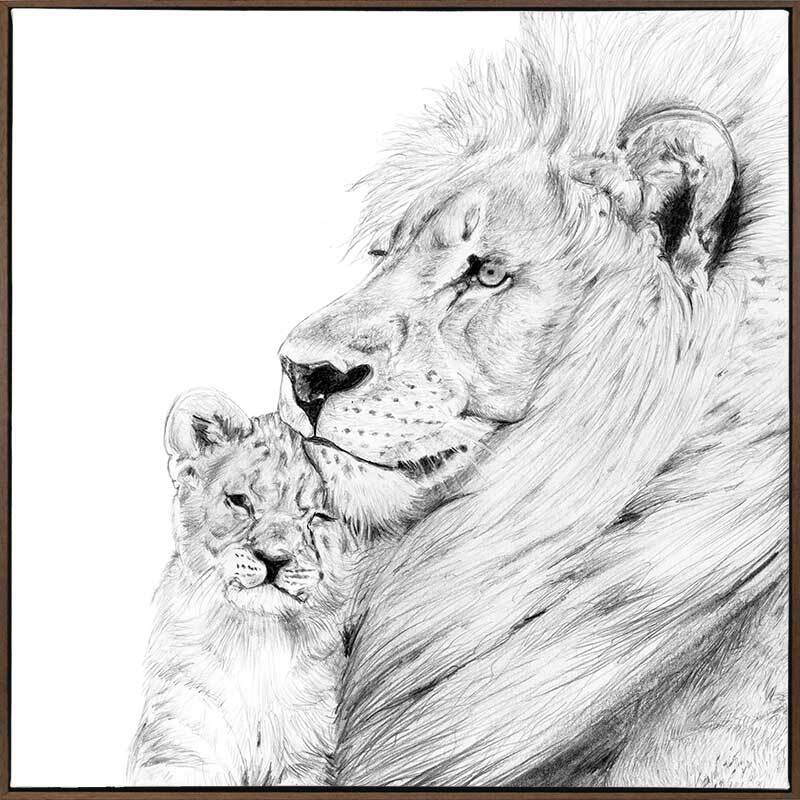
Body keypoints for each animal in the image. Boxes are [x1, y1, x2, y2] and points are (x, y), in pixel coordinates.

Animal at [128, 391, 355, 787]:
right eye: (239, 501)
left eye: (319, 517)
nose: (274, 559)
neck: (256, 641)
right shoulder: (179, 743)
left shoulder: (308, 757)